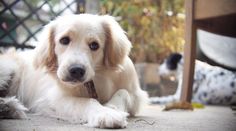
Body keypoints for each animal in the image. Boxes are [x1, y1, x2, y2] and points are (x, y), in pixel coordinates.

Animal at [0, 13, 148, 128]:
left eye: (94, 45)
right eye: (64, 40)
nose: (76, 70)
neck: (97, 80)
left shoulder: (137, 96)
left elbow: (124, 92)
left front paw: (111, 107)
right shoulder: (53, 98)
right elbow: (85, 102)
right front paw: (105, 113)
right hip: (8, 69)